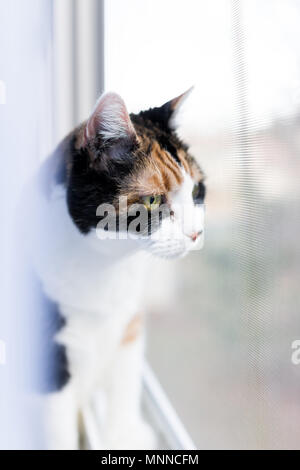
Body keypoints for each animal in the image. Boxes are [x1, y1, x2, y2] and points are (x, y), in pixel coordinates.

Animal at [27, 90, 206, 450]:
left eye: (196, 191)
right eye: (152, 201)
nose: (196, 234)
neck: (105, 266)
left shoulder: (129, 326)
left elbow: (124, 391)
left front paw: (125, 437)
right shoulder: (49, 360)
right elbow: (58, 429)